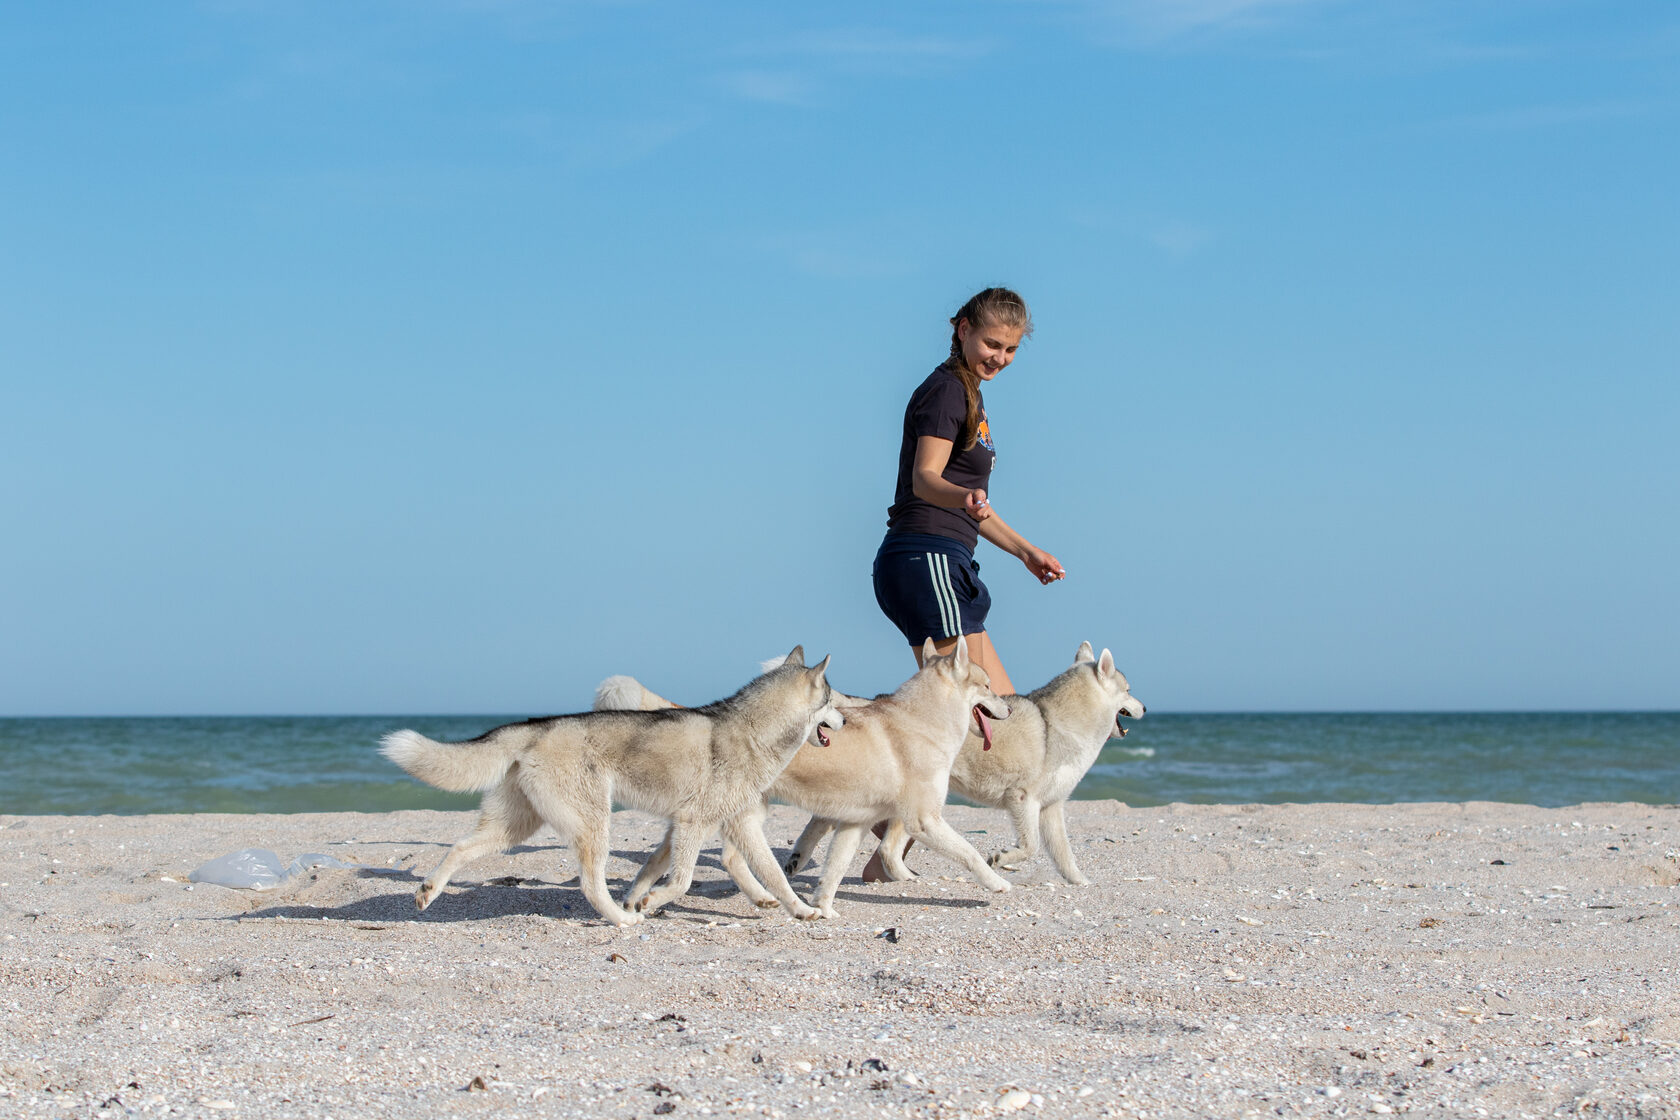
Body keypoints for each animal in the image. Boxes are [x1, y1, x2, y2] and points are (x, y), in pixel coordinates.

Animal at [384, 648, 846, 926]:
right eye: (833, 701)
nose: (845, 721)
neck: (751, 731)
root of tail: (536, 726)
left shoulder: (732, 824)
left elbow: (775, 876)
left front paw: (801, 910)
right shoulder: (693, 823)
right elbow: (681, 881)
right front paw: (648, 903)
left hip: (514, 828)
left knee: (460, 847)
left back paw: (427, 892)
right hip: (593, 824)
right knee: (590, 884)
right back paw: (621, 920)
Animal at [611, 638, 1014, 920]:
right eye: (988, 686)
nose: (1009, 708)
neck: (922, 722)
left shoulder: (854, 824)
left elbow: (833, 872)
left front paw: (824, 908)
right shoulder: (924, 820)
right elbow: (971, 854)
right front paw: (998, 884)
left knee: (670, 858)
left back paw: (635, 899)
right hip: (731, 813)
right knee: (725, 859)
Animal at [792, 644, 1149, 886]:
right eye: (1129, 690)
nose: (1145, 707)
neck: (1058, 723)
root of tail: (873, 702)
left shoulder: (1052, 808)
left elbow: (1064, 855)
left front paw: (1080, 882)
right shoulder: (1023, 799)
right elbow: (1030, 846)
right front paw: (1002, 858)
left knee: (830, 824)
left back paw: (798, 859)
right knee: (885, 850)